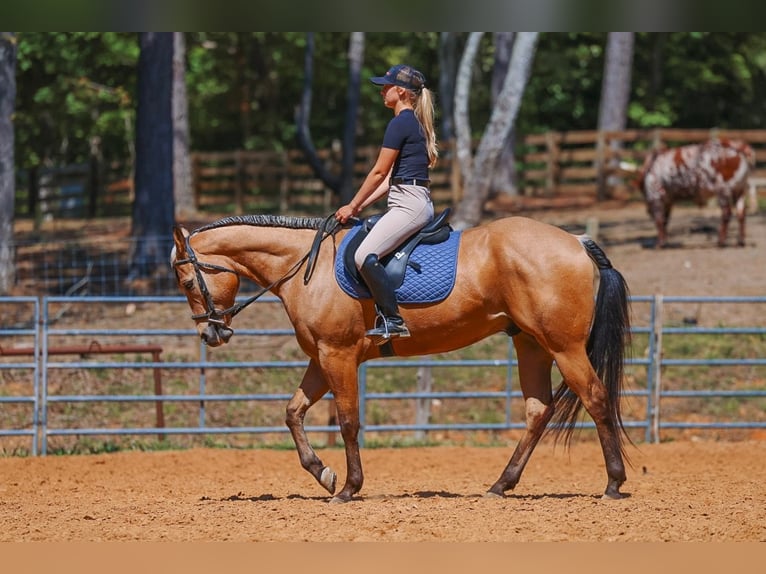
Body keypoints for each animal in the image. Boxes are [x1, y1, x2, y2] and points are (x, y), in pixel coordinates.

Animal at [171, 212, 632, 503]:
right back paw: (501, 484)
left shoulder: (337, 356)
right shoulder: (321, 359)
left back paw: (613, 483)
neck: (307, 269)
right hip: (531, 346)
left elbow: (348, 421)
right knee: (538, 410)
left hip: (564, 347)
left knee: (595, 398)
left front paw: (348, 488)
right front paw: (324, 474)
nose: (210, 333)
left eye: (188, 281)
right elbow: (293, 413)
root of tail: (576, 241)